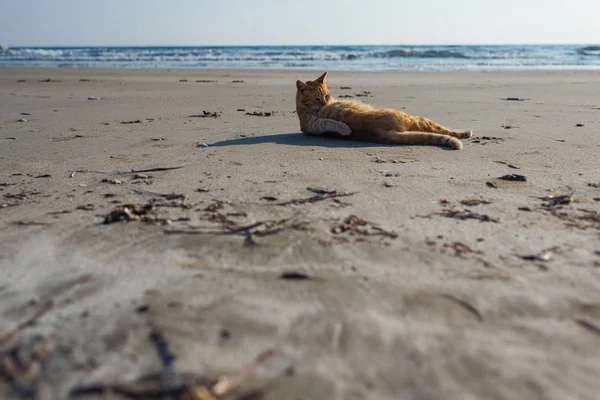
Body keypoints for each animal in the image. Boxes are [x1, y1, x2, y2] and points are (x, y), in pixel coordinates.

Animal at [296, 72, 474, 150]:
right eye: (317, 99)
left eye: (326, 95)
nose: (325, 102)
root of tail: (380, 132)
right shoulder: (313, 124)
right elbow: (331, 123)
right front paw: (345, 128)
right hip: (417, 119)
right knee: (445, 130)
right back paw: (465, 133)